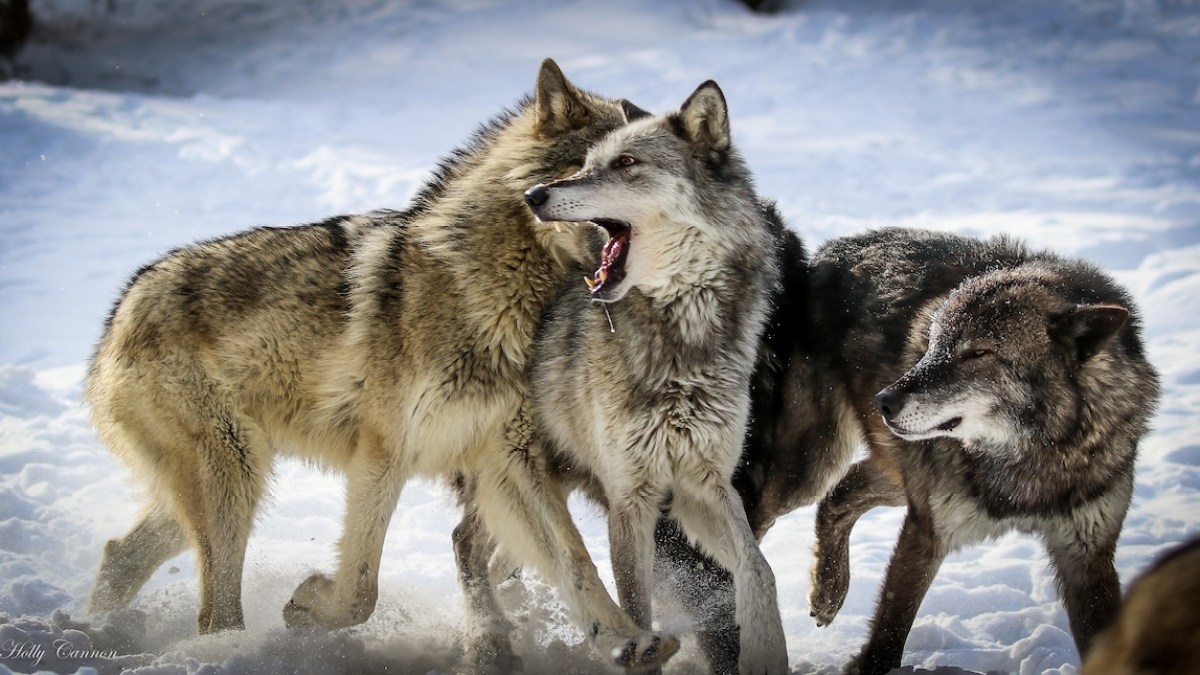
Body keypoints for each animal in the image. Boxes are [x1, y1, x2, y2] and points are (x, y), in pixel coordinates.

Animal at [84, 58, 680, 671]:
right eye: (596, 168)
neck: (486, 296)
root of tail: (121, 307)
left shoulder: (508, 459)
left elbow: (577, 562)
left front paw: (630, 641)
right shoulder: (382, 454)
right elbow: (361, 592)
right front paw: (308, 606)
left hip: (229, 480)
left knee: (120, 555)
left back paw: (97, 629)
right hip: (234, 482)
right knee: (212, 612)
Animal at [521, 80, 789, 674]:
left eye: (625, 163)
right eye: (587, 163)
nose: (534, 195)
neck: (681, 342)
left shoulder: (702, 486)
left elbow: (759, 570)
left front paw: (766, 652)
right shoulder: (632, 496)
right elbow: (636, 608)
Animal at [803, 228, 1160, 674]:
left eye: (977, 353)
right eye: (933, 343)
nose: (883, 401)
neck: (1037, 457)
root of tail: (832, 248)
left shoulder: (1088, 558)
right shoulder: (928, 530)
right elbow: (888, 632)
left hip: (901, 476)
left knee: (841, 493)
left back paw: (828, 594)